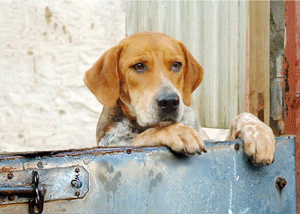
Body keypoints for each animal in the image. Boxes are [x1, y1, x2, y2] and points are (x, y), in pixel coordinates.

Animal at [84, 31, 274, 166]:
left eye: (176, 65)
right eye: (138, 66)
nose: (169, 101)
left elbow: (242, 116)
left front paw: (260, 133)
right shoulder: (114, 145)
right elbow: (143, 136)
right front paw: (177, 131)